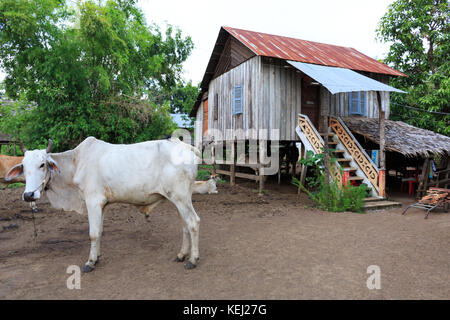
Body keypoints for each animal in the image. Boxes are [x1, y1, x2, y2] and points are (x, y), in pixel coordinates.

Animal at [5, 138, 201, 272]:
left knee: (193, 222)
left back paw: (193, 259)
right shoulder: (102, 205)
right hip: (179, 199)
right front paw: (97, 256)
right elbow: (99, 231)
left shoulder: (93, 201)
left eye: (42, 164)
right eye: (23, 166)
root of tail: (187, 147)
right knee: (185, 225)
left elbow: (92, 234)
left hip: (181, 197)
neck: (76, 163)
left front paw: (90, 262)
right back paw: (181, 255)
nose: (29, 195)